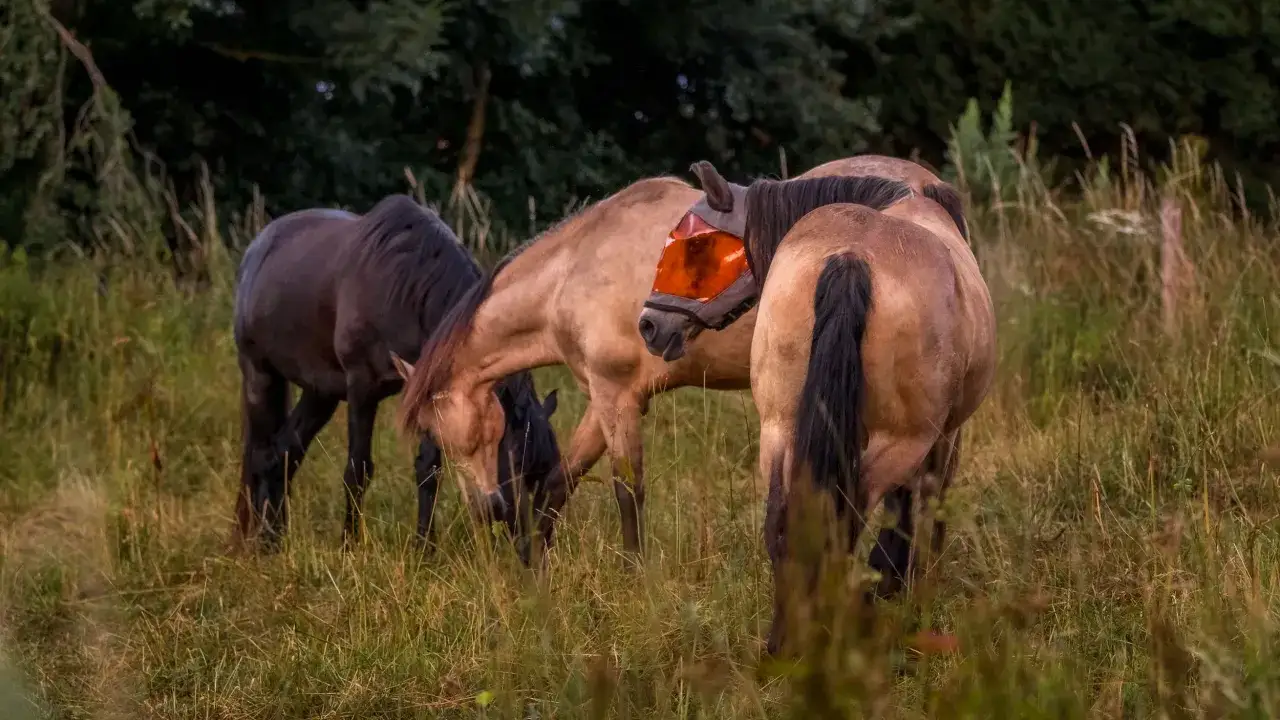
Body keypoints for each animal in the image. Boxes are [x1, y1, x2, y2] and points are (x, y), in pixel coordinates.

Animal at [231, 193, 562, 558]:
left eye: (540, 472)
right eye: (513, 458)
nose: (533, 548)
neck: (403, 287)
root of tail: (257, 248)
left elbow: (428, 471)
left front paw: (425, 550)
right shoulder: (361, 388)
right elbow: (358, 469)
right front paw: (349, 547)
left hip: (320, 394)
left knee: (285, 453)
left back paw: (276, 537)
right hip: (260, 375)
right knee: (261, 455)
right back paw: (262, 542)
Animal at [393, 155, 958, 563]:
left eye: (458, 436)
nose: (484, 508)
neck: (572, 271)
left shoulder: (616, 397)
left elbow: (627, 492)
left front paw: (633, 576)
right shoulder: (605, 399)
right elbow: (560, 482)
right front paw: (531, 566)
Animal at [678, 160, 996, 655]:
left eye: (697, 246)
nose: (649, 324)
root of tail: (850, 258)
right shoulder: (945, 437)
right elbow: (922, 507)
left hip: (780, 429)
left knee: (788, 524)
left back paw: (787, 640)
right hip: (899, 441)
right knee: (848, 520)